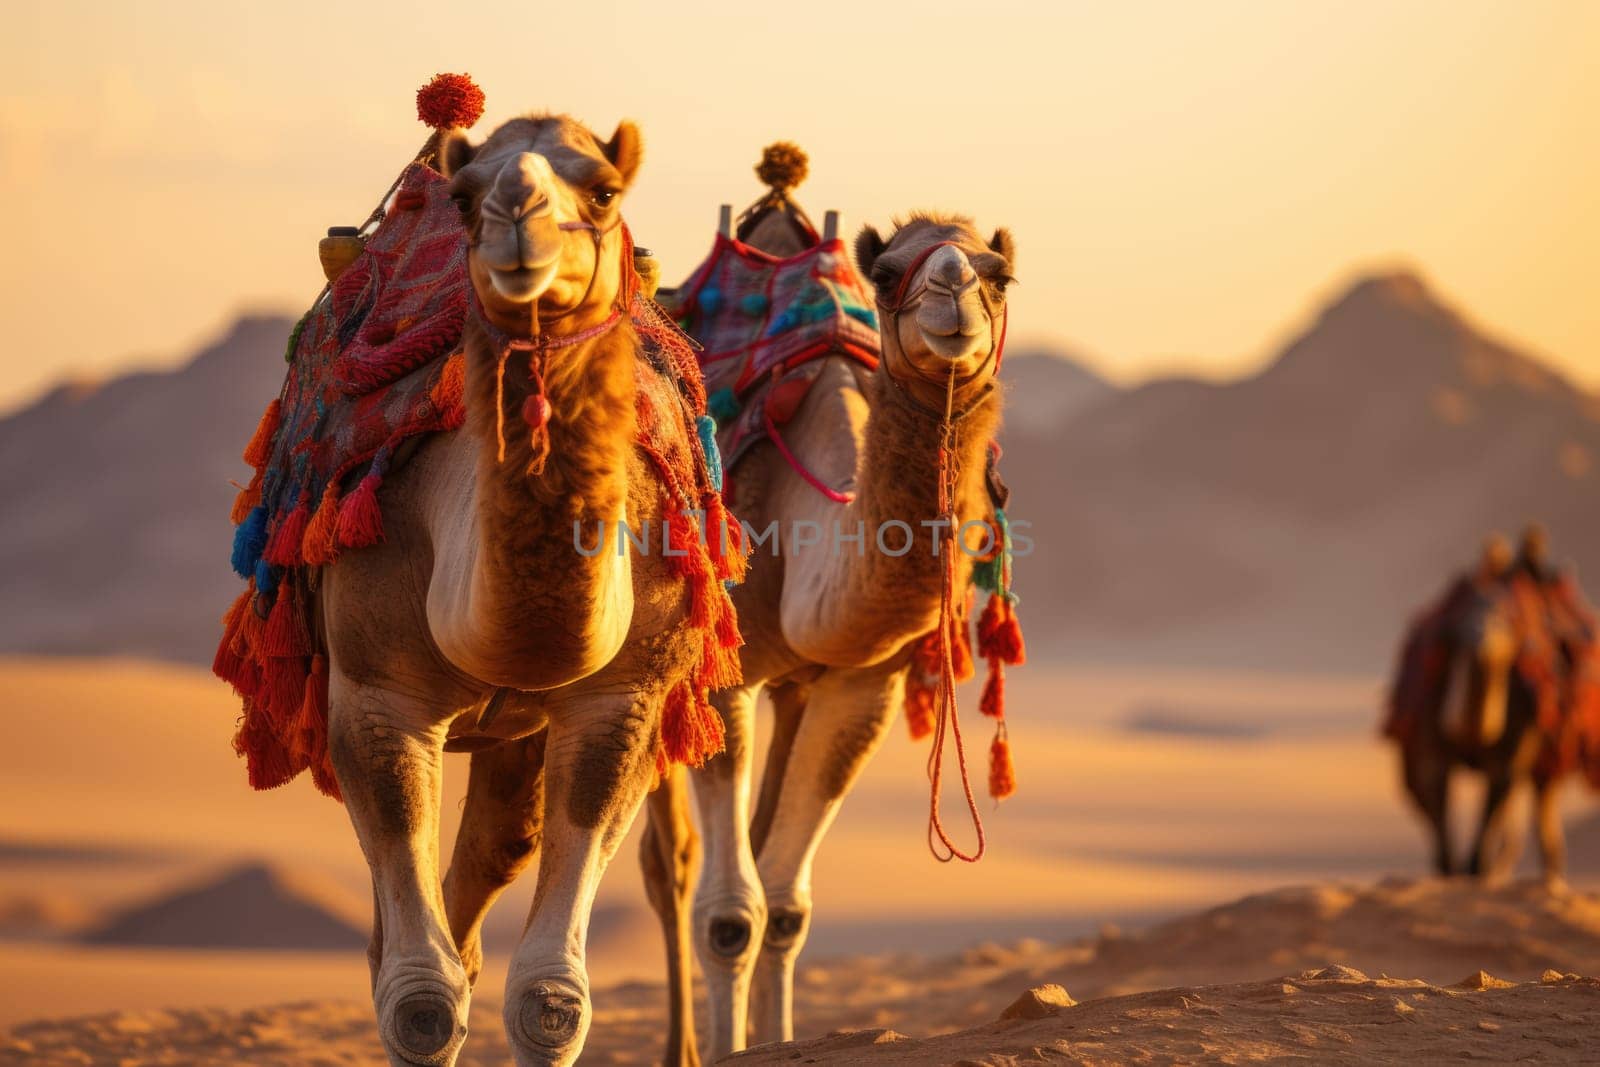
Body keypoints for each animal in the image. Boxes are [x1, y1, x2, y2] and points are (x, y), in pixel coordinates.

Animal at [209, 93, 739, 1067]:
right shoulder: (376, 694)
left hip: (517, 730)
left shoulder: (624, 699)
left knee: (496, 849)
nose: (518, 219)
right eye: (463, 198)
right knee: (415, 928)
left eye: (604, 190)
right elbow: (420, 1002)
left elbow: (550, 998)